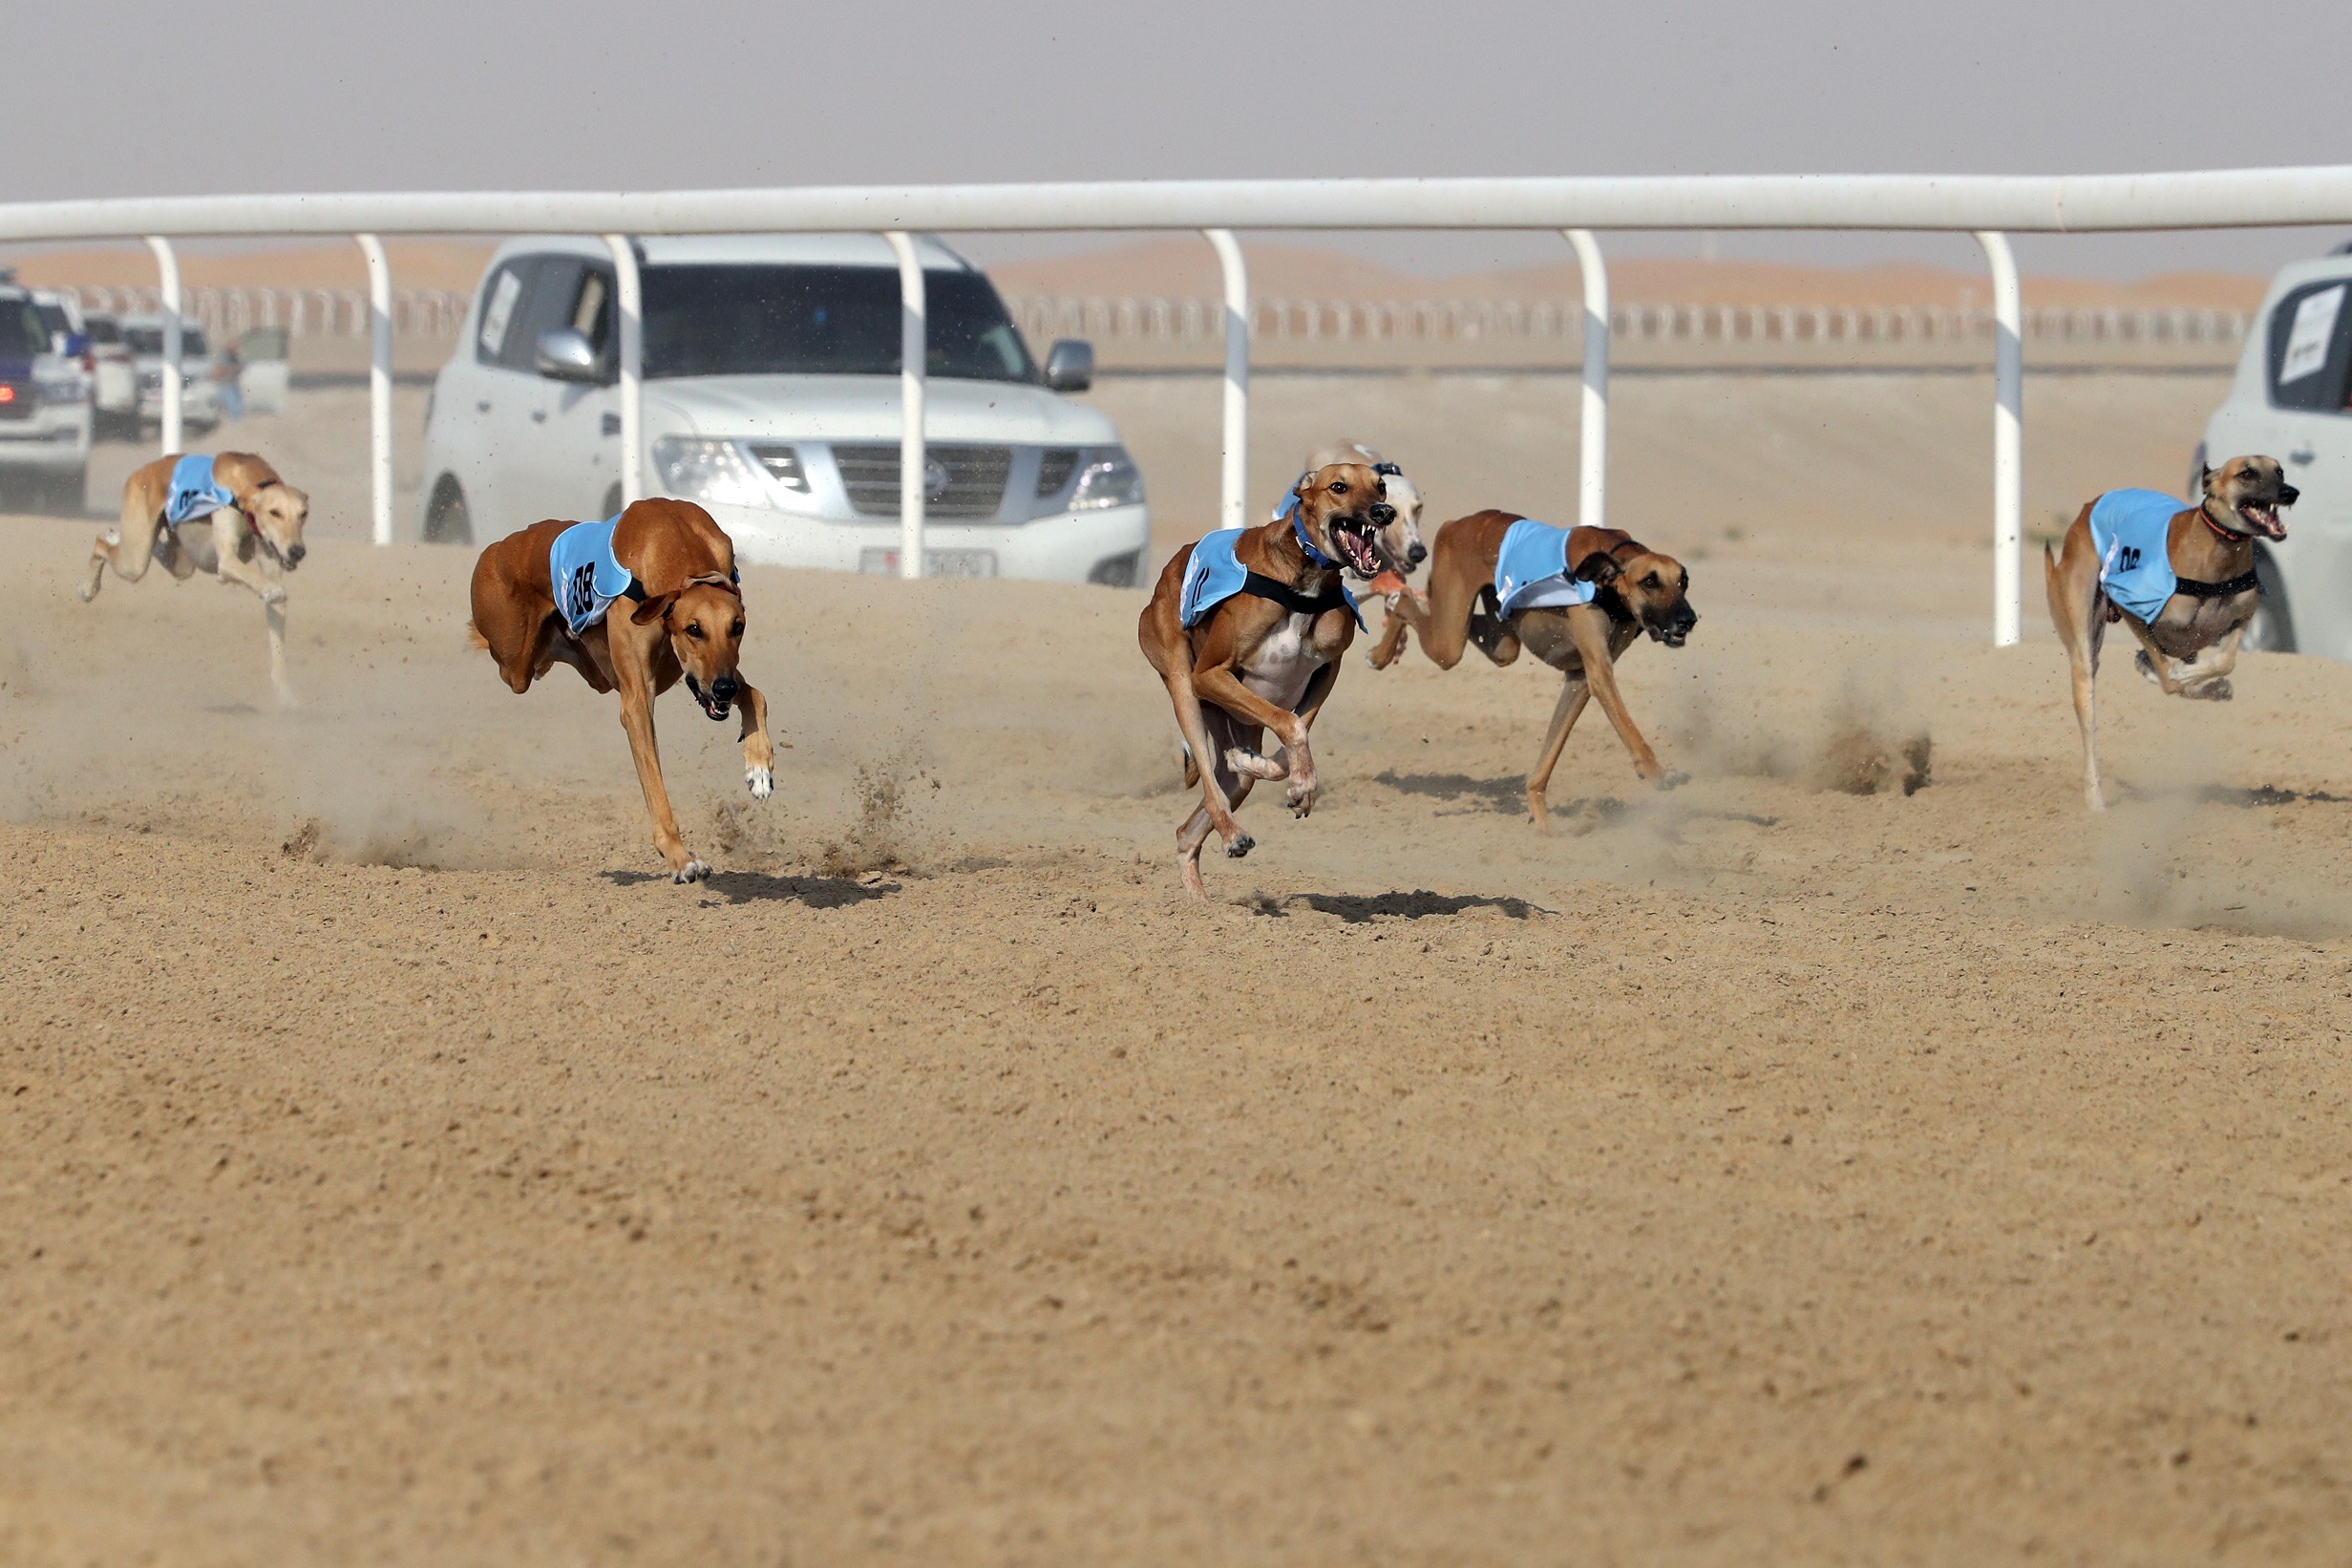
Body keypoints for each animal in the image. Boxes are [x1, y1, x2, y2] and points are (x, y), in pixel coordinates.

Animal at [76, 446, 312, 705]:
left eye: (303, 514)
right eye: (274, 512)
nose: (297, 551)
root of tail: (142, 471)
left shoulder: (270, 559)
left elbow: (277, 641)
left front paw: (285, 696)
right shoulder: (227, 561)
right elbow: (261, 582)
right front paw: (273, 590)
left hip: (181, 560)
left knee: (156, 550)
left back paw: (114, 536)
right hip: (135, 561)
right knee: (102, 545)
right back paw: (89, 586)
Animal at [470, 500, 780, 883]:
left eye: (738, 627)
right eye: (694, 629)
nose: (724, 689)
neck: (675, 540)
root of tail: (500, 545)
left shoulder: (706, 674)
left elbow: (755, 694)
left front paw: (759, 768)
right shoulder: (639, 701)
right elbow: (656, 788)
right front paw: (681, 859)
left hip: (589, 671)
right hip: (515, 664)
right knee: (519, 664)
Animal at [1138, 460, 1392, 893]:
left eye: (1381, 487)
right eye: (1338, 487)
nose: (1383, 512)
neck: (1304, 584)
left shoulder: (1328, 669)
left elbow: (1291, 741)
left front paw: (1288, 780)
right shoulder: (1210, 675)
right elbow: (1291, 724)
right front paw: (1303, 785)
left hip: (1236, 720)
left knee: (1193, 827)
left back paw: (1199, 902)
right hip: (1184, 688)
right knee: (1211, 790)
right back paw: (1233, 836)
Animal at [1364, 515, 1693, 832]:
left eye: (1684, 581)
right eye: (1649, 581)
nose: (1688, 620)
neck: (1606, 584)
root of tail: (1456, 524)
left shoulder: (1580, 679)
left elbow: (1551, 751)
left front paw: (1540, 817)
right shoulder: (1599, 671)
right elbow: (1628, 728)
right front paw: (1657, 773)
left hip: (1500, 636)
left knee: (1469, 630)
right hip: (1449, 641)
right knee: (1406, 601)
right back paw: (1379, 654)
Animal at [2041, 451, 2295, 808]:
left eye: (2279, 471)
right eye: (2246, 473)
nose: (2290, 492)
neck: (2216, 555)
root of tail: (2087, 510)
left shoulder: (2241, 620)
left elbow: (2224, 661)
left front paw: (2202, 680)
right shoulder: (2135, 611)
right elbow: (2167, 676)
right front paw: (2179, 676)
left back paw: (2205, 685)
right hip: (2083, 644)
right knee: (2090, 709)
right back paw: (2095, 800)